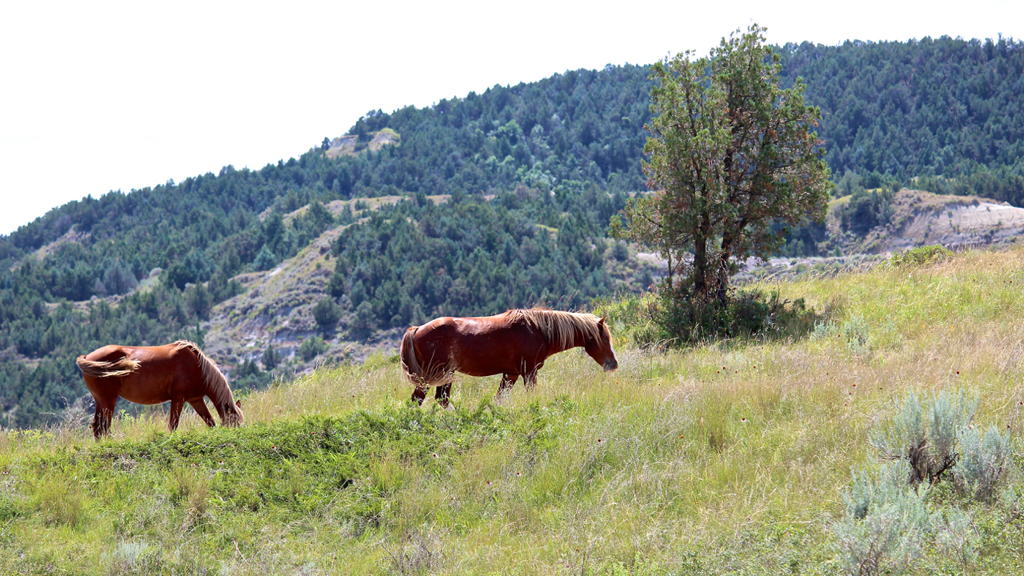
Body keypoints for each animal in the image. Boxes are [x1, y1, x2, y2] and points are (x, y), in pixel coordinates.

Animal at [76, 340, 244, 439]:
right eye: (235, 422)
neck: (197, 366)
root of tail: (87, 357)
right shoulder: (178, 399)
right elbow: (173, 425)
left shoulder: (196, 400)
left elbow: (210, 422)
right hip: (108, 400)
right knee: (103, 426)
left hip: (100, 400)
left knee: (97, 427)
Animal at [400, 308, 618, 407]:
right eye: (604, 338)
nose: (613, 364)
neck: (537, 330)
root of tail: (417, 329)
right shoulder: (529, 372)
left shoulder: (510, 374)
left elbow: (499, 399)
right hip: (434, 374)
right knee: (421, 399)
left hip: (444, 375)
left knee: (440, 399)